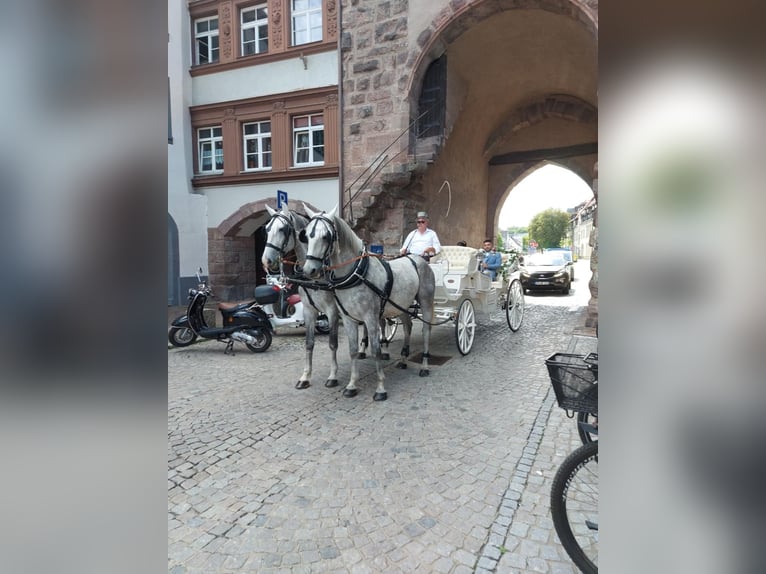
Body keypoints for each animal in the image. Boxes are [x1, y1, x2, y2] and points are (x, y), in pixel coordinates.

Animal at [302, 205, 438, 402]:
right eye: (306, 235)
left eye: (326, 236)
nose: (309, 270)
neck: (356, 273)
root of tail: (418, 258)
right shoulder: (348, 318)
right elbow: (352, 350)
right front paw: (352, 385)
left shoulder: (371, 318)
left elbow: (376, 350)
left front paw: (380, 388)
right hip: (402, 306)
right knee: (408, 327)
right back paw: (403, 360)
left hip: (426, 303)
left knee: (426, 331)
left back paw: (425, 366)